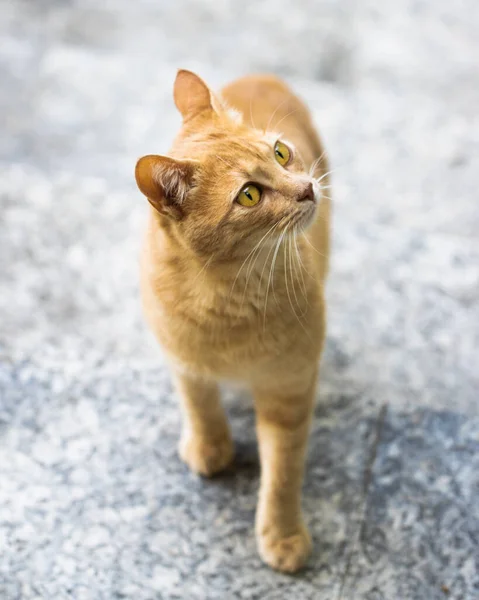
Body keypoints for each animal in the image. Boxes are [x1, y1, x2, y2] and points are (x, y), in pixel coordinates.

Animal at [134, 70, 330, 572]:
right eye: (249, 194)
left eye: (280, 153)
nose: (306, 188)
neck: (228, 296)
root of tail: (262, 75)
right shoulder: (182, 359)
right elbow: (199, 403)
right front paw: (209, 447)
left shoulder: (289, 388)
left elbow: (281, 475)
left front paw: (282, 536)